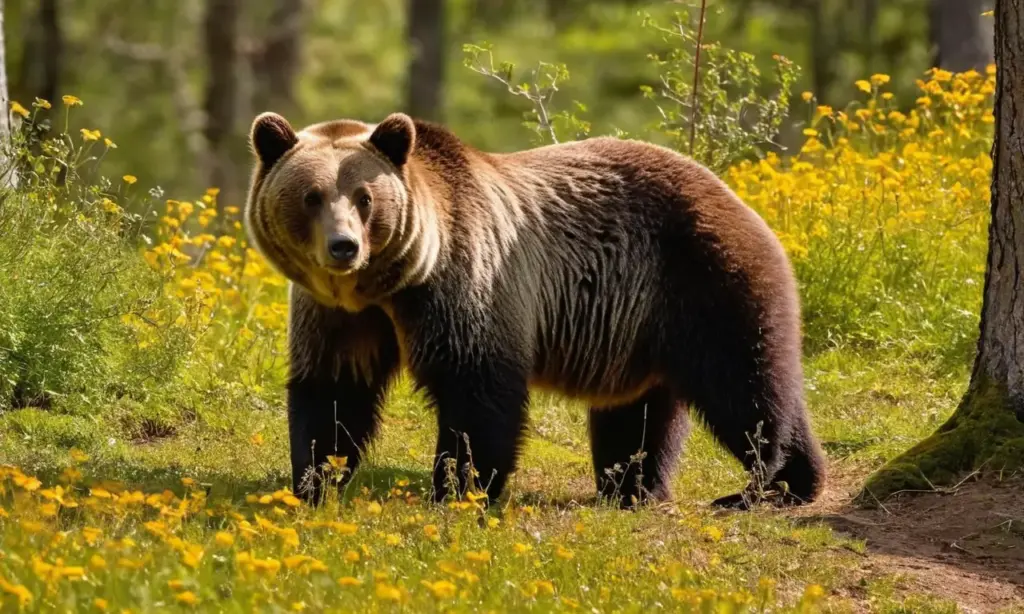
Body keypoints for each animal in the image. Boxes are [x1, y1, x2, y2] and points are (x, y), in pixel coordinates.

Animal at [243, 110, 827, 510]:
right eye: (311, 196)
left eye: (365, 197)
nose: (343, 247)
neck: (388, 285)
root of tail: (733, 193)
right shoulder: (339, 315)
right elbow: (334, 392)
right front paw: (313, 482)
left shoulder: (467, 281)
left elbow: (476, 390)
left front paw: (460, 488)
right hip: (637, 324)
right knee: (641, 412)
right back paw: (639, 488)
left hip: (702, 277)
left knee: (742, 386)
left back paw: (763, 483)